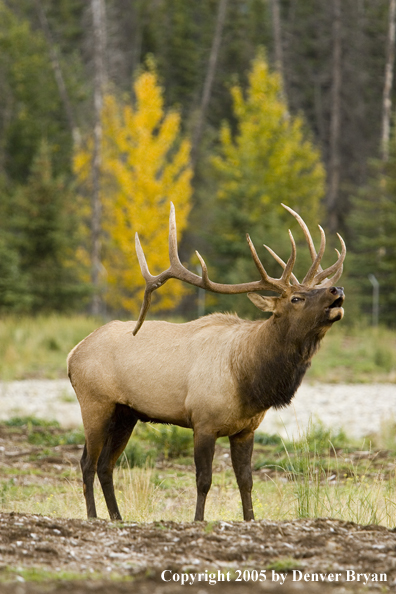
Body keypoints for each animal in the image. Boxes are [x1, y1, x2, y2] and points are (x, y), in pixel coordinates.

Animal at [66, 202, 344, 520]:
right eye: (296, 298)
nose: (337, 290)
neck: (248, 379)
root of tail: (73, 353)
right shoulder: (203, 421)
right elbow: (204, 480)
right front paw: (198, 520)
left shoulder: (246, 429)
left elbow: (246, 481)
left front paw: (250, 519)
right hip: (95, 402)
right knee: (87, 462)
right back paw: (93, 517)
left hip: (126, 413)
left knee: (105, 465)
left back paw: (117, 518)